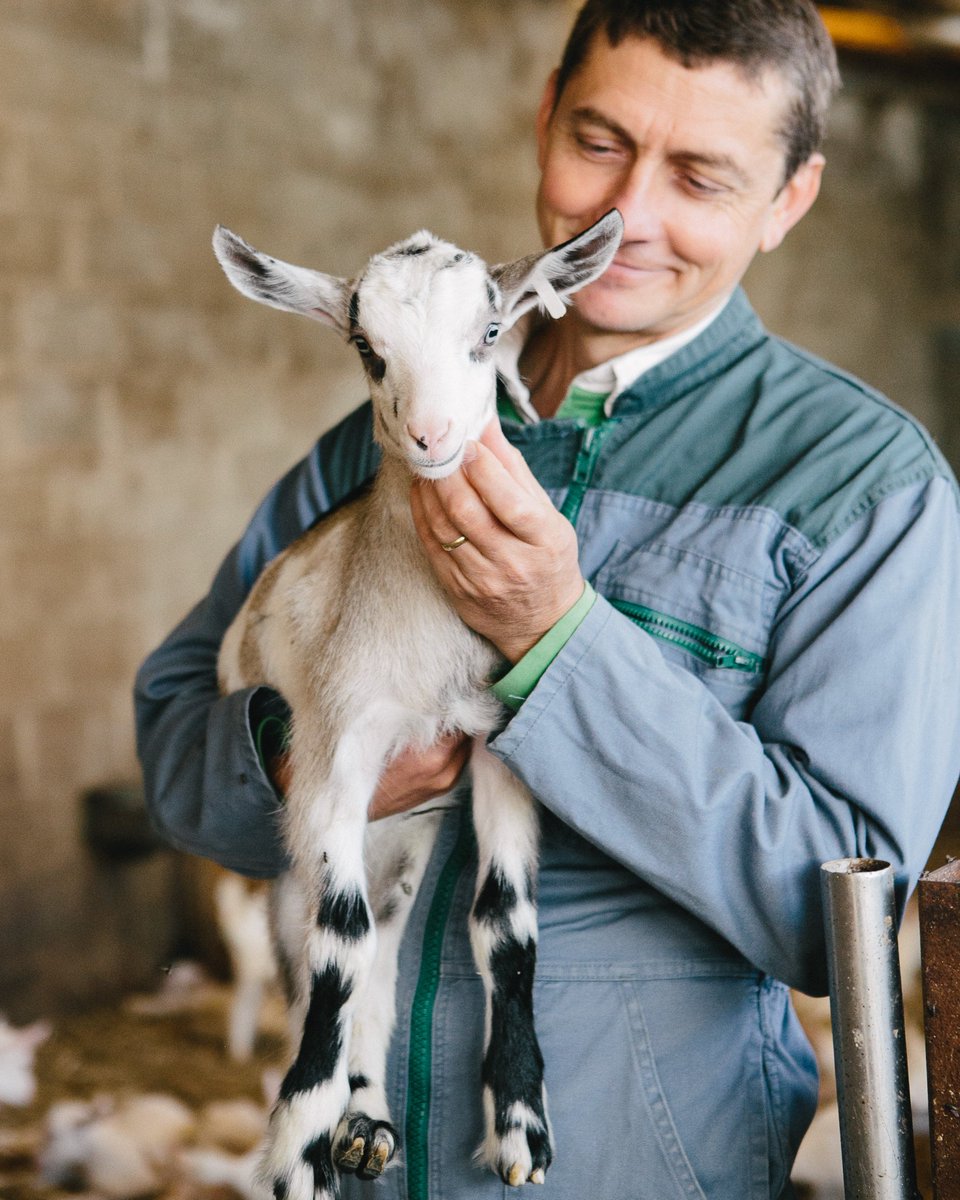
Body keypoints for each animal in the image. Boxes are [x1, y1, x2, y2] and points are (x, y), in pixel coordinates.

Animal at [212, 209, 623, 1200]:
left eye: (490, 332)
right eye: (368, 349)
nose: (435, 437)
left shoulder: (499, 751)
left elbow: (505, 925)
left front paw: (522, 1126)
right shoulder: (335, 754)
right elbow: (338, 945)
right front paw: (297, 1146)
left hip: (400, 862)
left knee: (382, 958)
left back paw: (365, 1122)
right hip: (293, 877)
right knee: (333, 953)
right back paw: (344, 1122)